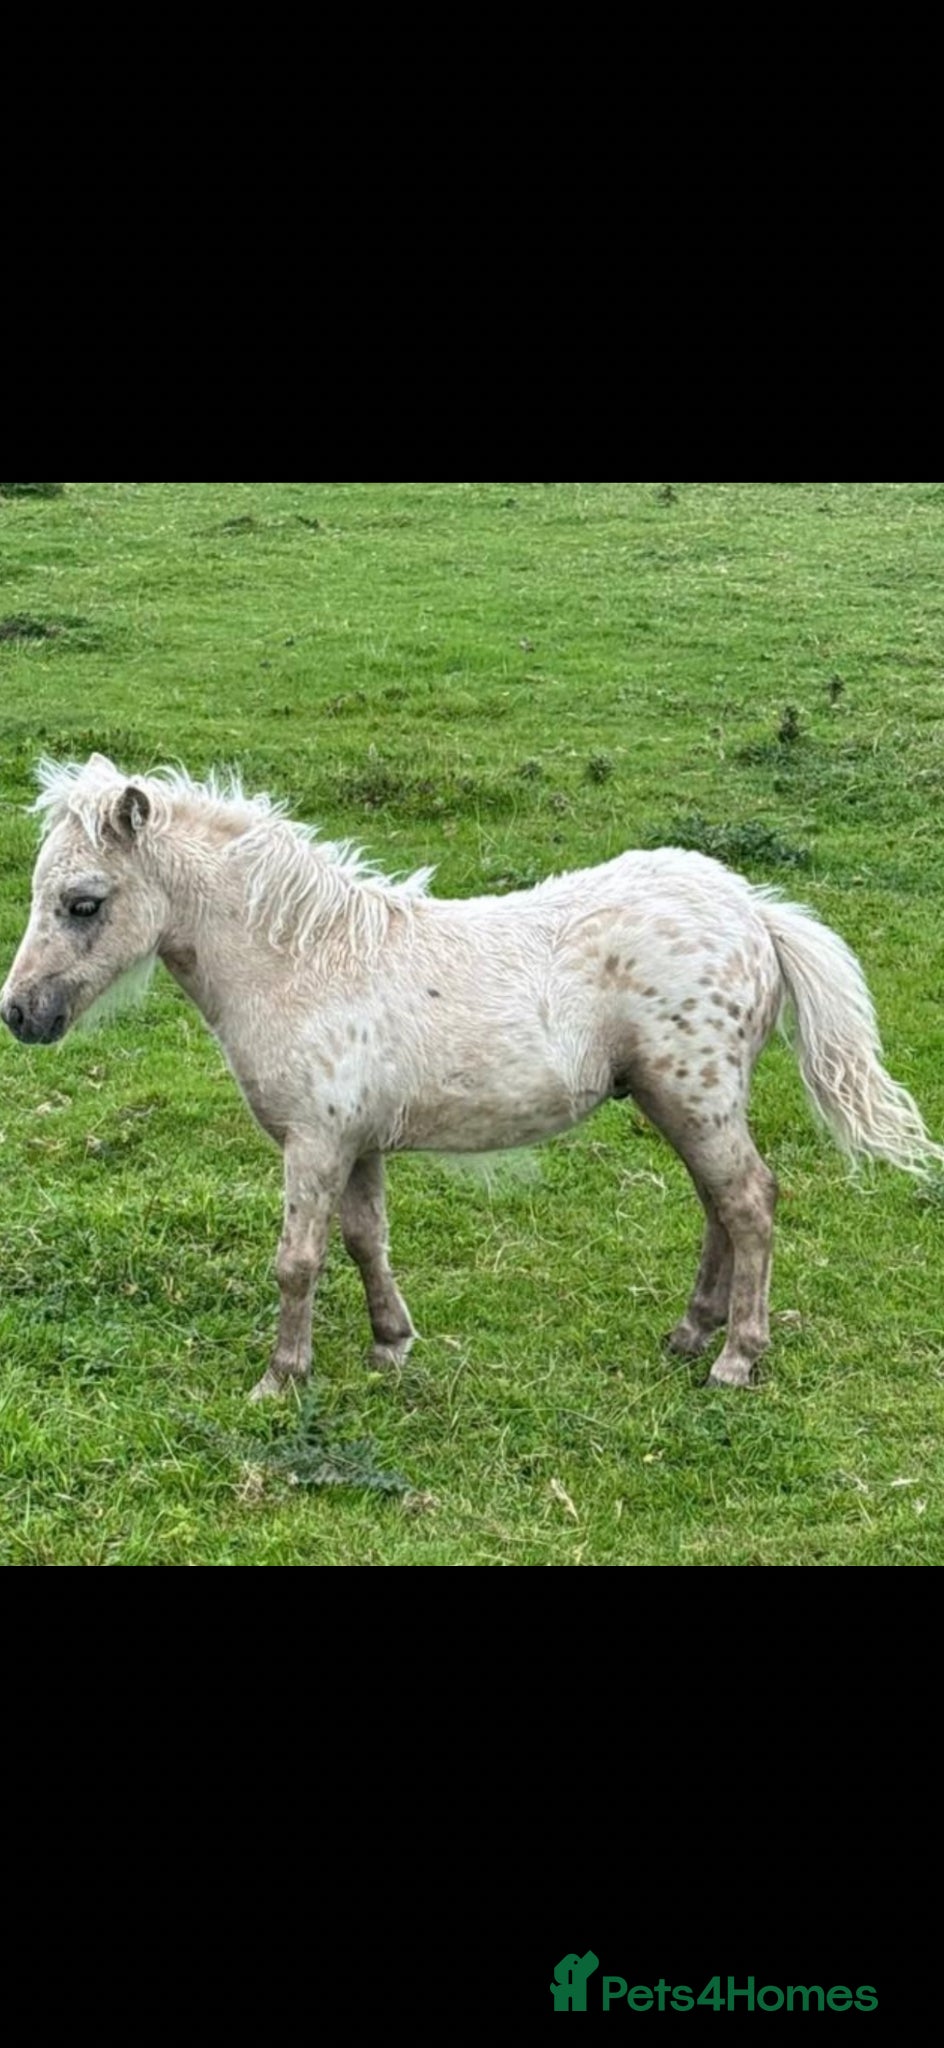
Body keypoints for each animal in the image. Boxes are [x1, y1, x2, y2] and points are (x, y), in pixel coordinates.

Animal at [3, 752, 941, 1396]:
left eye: (83, 903)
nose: (20, 1014)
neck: (307, 963)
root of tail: (753, 910)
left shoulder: (314, 1143)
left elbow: (298, 1258)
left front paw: (281, 1378)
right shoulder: (356, 1143)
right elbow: (365, 1239)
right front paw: (390, 1343)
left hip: (694, 1096)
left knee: (748, 1203)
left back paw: (737, 1358)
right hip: (683, 1102)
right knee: (723, 1206)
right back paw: (688, 1335)